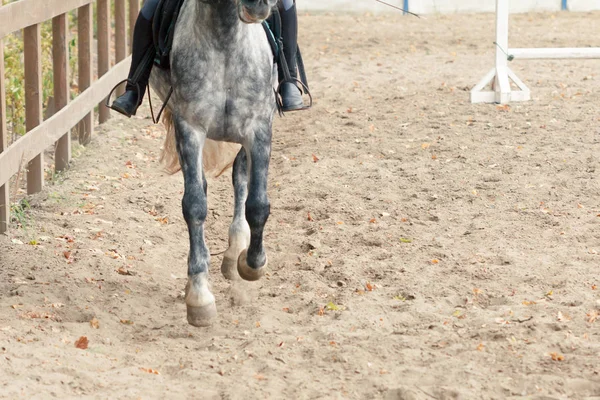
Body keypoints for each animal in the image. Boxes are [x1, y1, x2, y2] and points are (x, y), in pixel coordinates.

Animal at [150, 0, 282, 326]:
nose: (259, 5)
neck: (226, 39)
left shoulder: (258, 129)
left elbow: (257, 206)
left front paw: (252, 264)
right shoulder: (189, 129)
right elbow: (195, 205)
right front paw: (199, 295)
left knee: (240, 178)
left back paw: (235, 250)